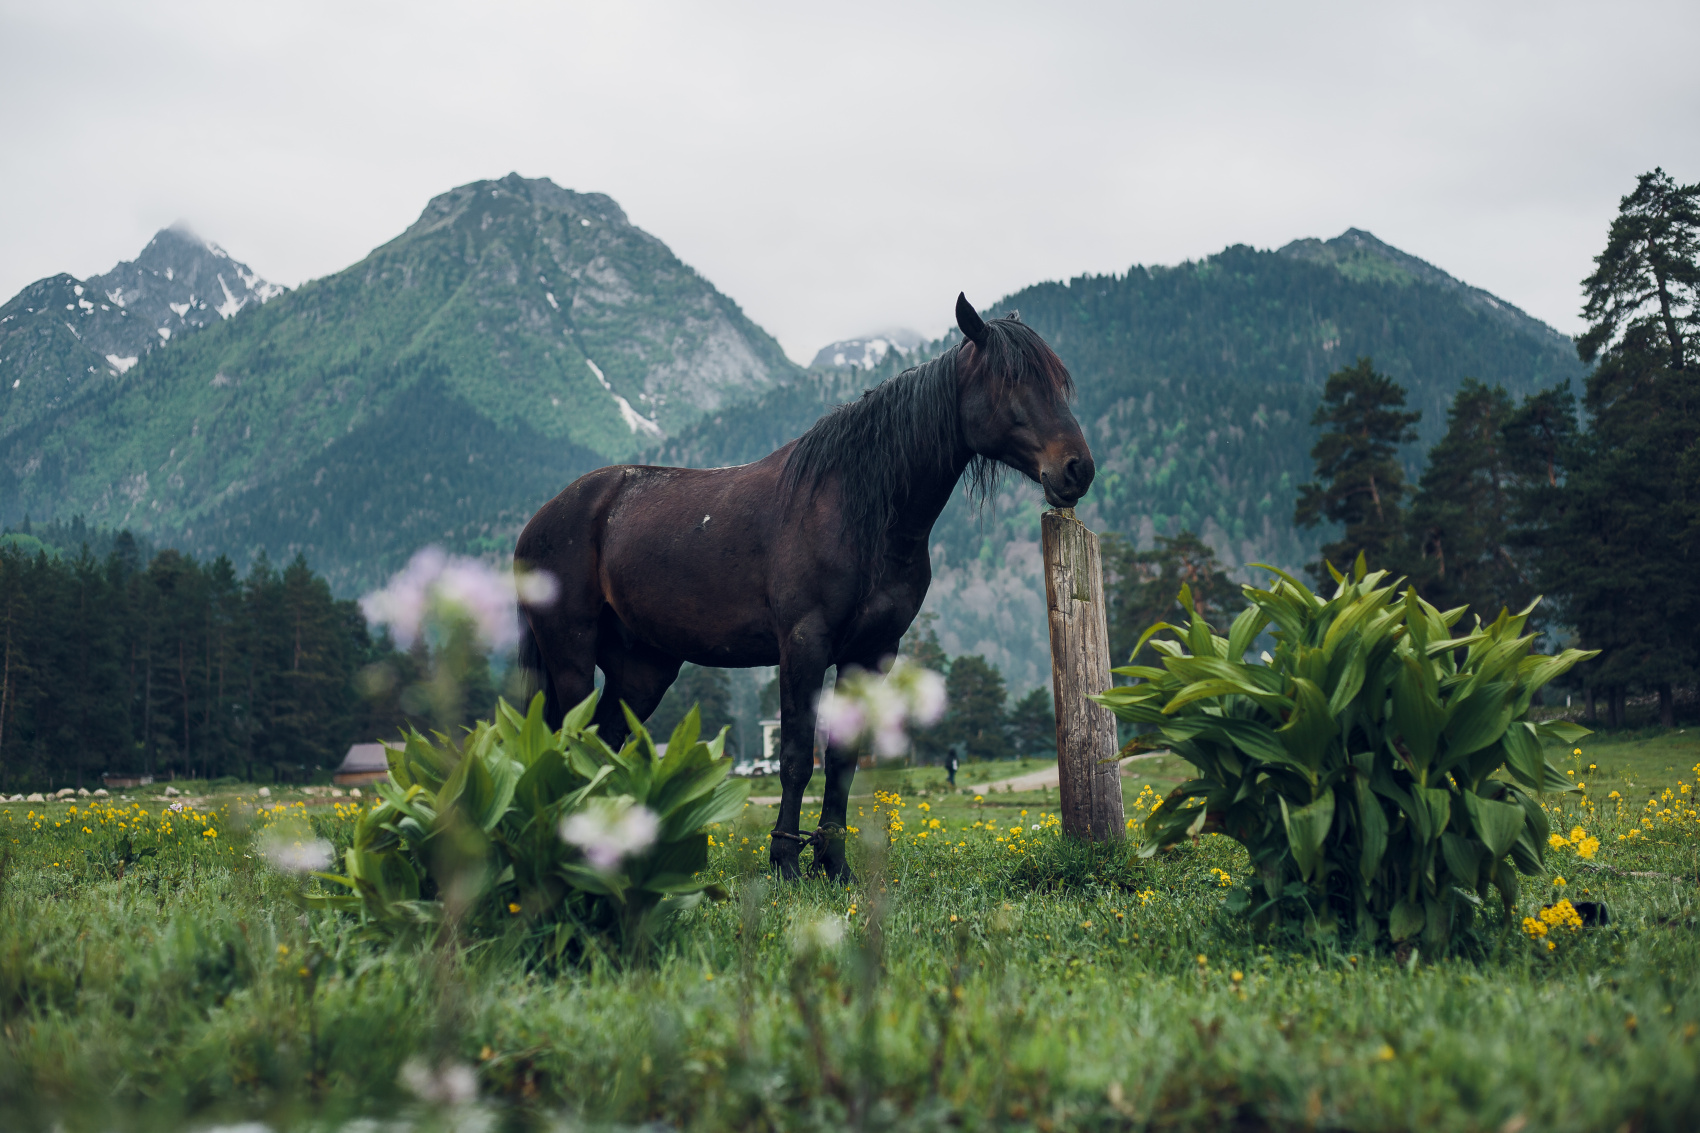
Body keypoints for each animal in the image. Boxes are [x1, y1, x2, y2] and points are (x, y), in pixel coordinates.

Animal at [516, 290, 1094, 871]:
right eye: (1010, 380)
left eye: (1058, 381)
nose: (1077, 470)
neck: (857, 513)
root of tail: (543, 519)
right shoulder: (803, 645)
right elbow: (796, 755)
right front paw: (785, 861)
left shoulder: (871, 653)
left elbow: (841, 760)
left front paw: (832, 864)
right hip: (571, 658)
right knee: (569, 739)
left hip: (642, 670)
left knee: (603, 743)